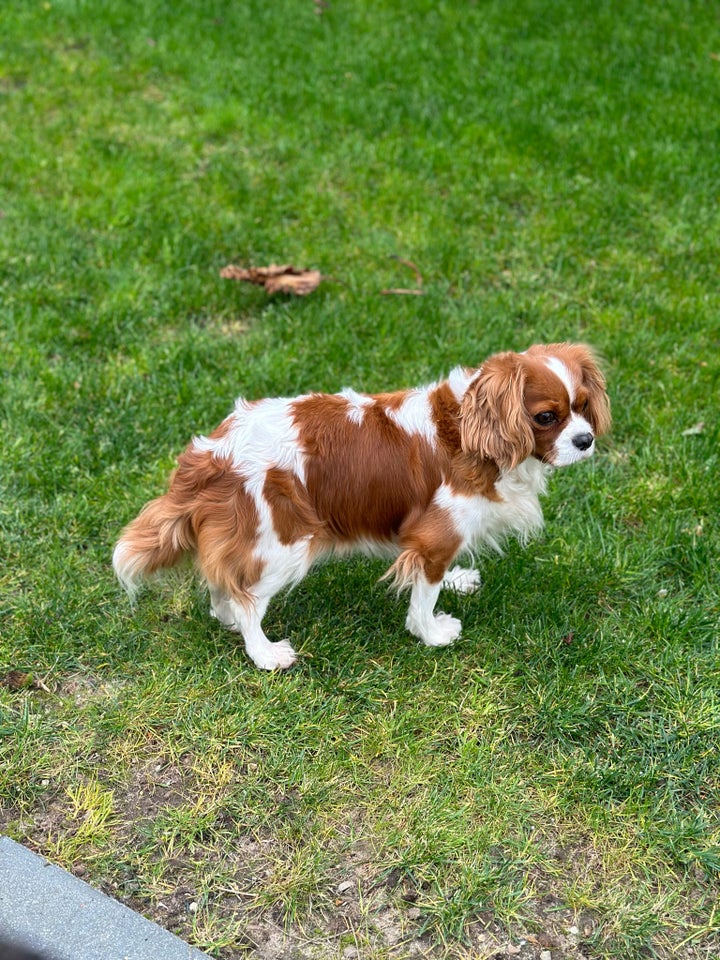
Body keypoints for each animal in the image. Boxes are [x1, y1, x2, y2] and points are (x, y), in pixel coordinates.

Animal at [115, 344, 612, 668]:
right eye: (546, 417)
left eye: (583, 406)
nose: (585, 440)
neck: (471, 433)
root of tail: (209, 455)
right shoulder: (434, 536)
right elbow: (423, 595)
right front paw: (432, 633)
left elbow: (434, 575)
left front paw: (457, 579)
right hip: (285, 544)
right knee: (246, 598)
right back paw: (266, 654)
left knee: (223, 586)